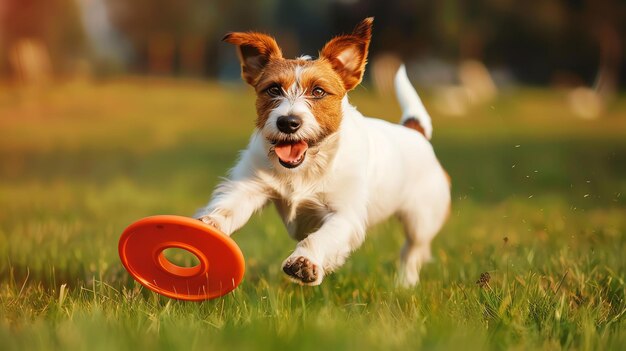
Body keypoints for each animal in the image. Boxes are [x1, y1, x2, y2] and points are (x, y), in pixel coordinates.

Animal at [195, 16, 448, 288]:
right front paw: (210, 222)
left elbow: (322, 237)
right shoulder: (249, 187)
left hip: (421, 219)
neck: (306, 167)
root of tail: (415, 131)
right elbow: (229, 206)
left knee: (413, 251)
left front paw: (304, 262)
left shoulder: (344, 214)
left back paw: (405, 283)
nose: (288, 122)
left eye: (318, 91)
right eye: (273, 89)